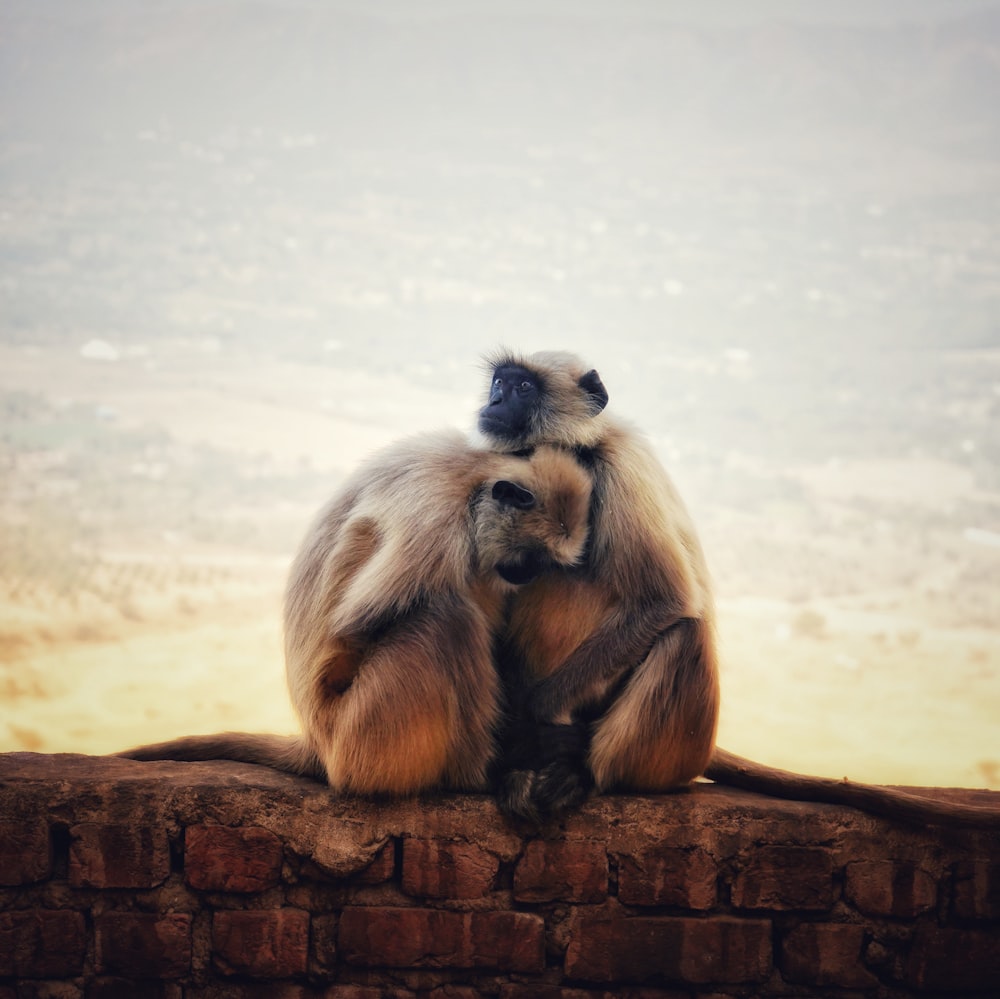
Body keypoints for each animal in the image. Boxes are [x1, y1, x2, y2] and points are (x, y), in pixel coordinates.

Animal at [117, 430, 588, 796]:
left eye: (541, 562)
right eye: (530, 557)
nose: (527, 574)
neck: (475, 470)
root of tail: (317, 744)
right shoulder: (435, 518)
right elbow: (353, 631)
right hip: (365, 732)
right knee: (446, 619)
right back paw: (476, 775)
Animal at [476, 348, 1000, 832]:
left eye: (523, 388)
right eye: (500, 382)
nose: (495, 400)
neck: (575, 449)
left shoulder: (620, 467)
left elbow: (667, 601)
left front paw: (534, 720)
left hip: (676, 748)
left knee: (684, 633)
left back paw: (581, 773)